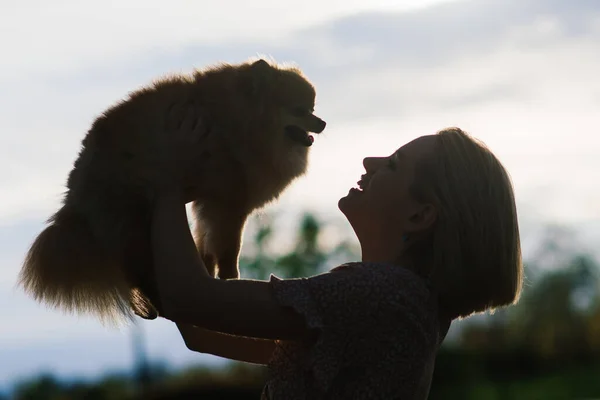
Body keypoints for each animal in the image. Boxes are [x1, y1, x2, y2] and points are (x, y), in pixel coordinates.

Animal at [18, 57, 326, 324]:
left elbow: (206, 242)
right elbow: (229, 249)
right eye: (300, 110)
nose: (321, 123)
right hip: (131, 218)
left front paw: (208, 269)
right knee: (138, 271)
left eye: (313, 109)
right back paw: (150, 305)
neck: (240, 122)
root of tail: (74, 193)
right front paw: (230, 278)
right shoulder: (230, 204)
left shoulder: (210, 204)